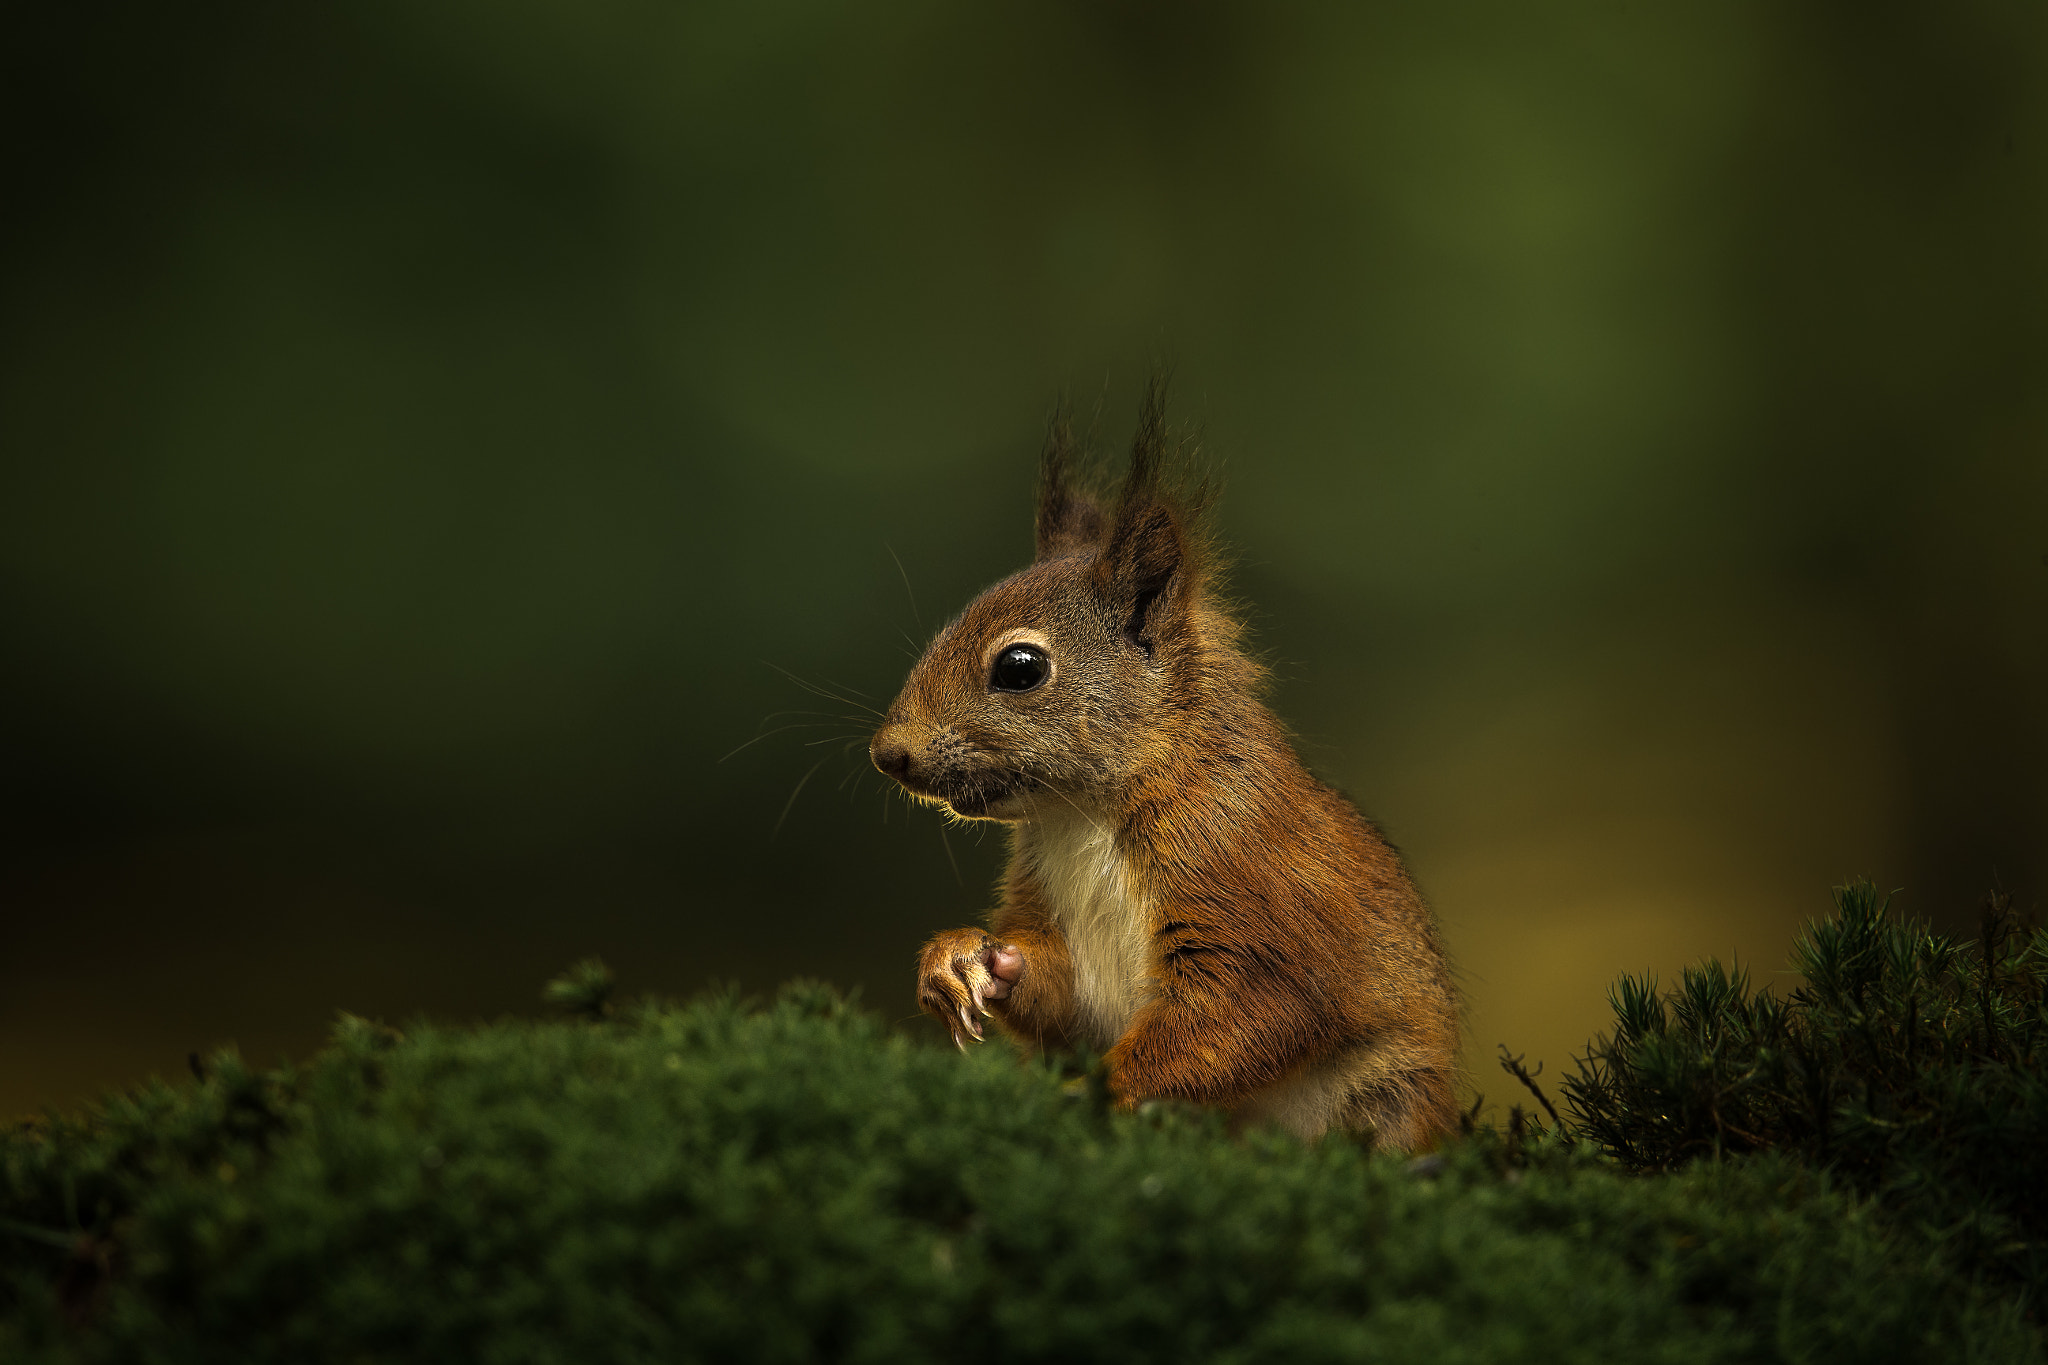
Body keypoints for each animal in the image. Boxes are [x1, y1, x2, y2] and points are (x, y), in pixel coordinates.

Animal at [864, 388, 1458, 1146]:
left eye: (1020, 668)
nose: (889, 753)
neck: (1082, 817)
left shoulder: (1243, 879)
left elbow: (1253, 1013)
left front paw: (1101, 1088)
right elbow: (1060, 992)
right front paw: (965, 958)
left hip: (1393, 1093)